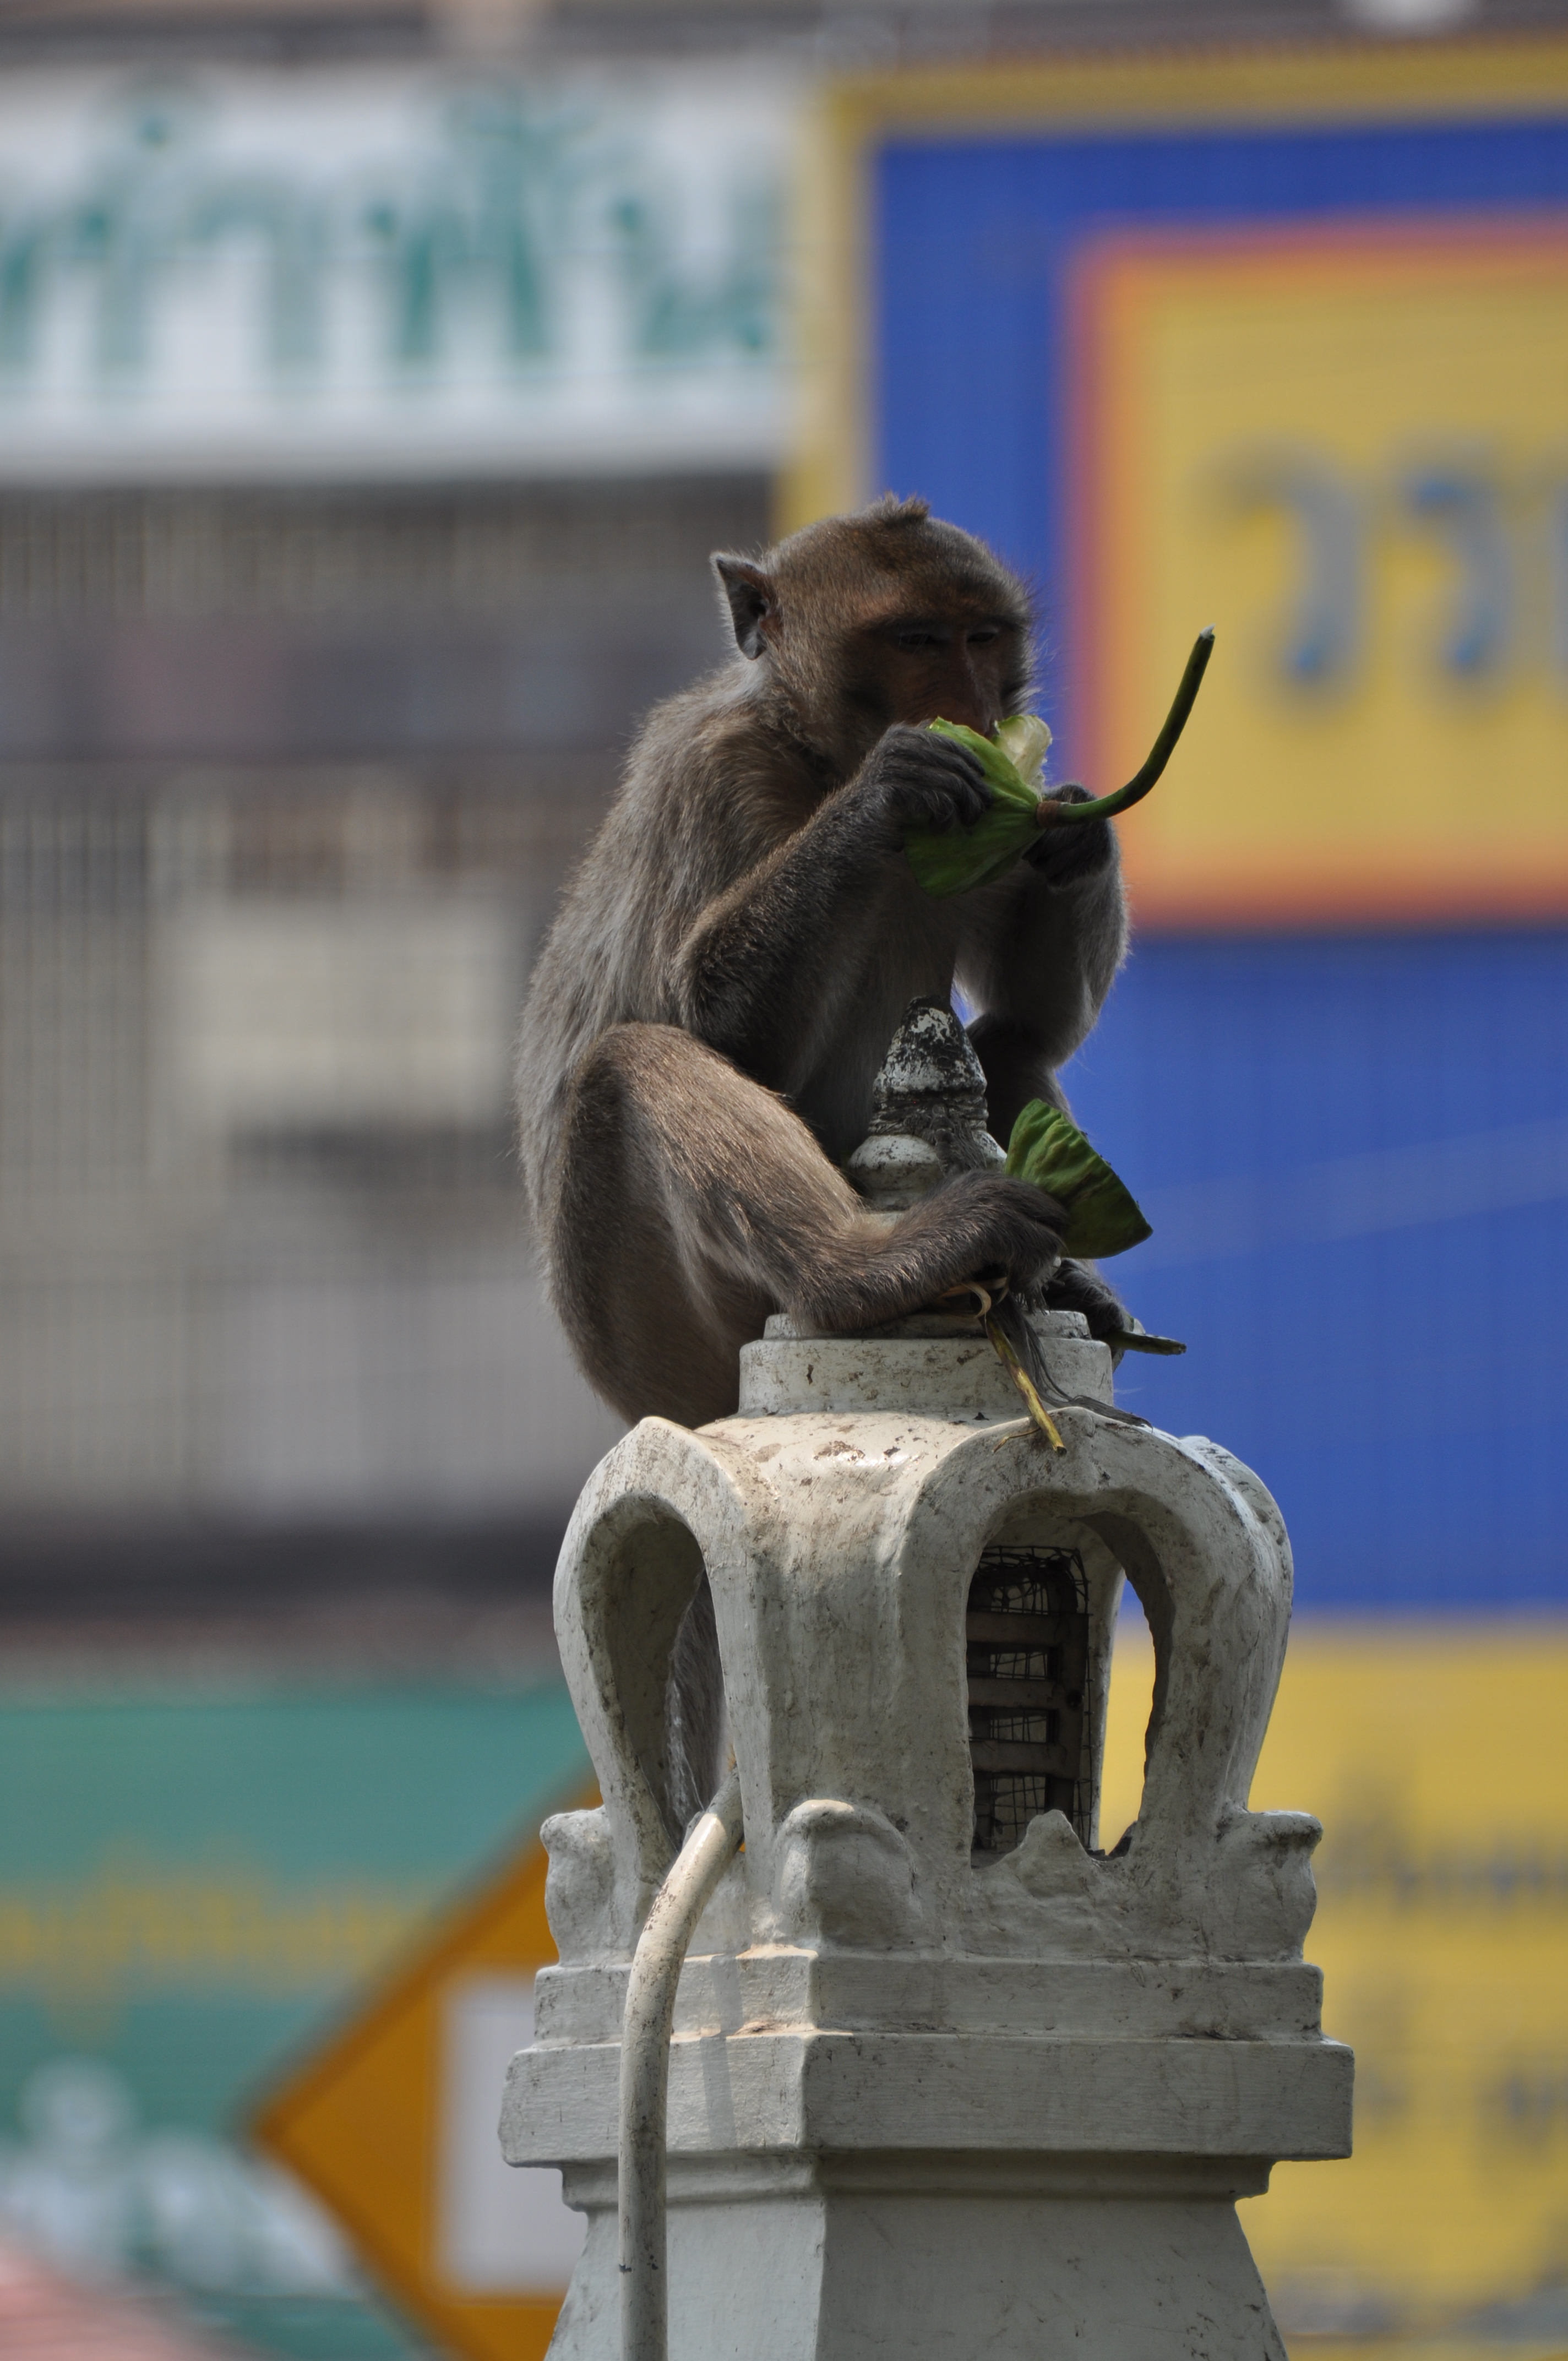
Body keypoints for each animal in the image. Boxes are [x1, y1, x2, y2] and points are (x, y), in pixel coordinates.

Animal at [516, 495, 1130, 1820]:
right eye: (912, 640)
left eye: (978, 636)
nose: (969, 701)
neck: (816, 756)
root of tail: (643, 1400)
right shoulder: (719, 778)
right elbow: (705, 1016)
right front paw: (888, 796)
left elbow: (1036, 1021)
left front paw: (1073, 829)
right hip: (652, 1309)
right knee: (631, 1060)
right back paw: (875, 1267)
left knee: (1004, 1044)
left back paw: (1060, 1278)